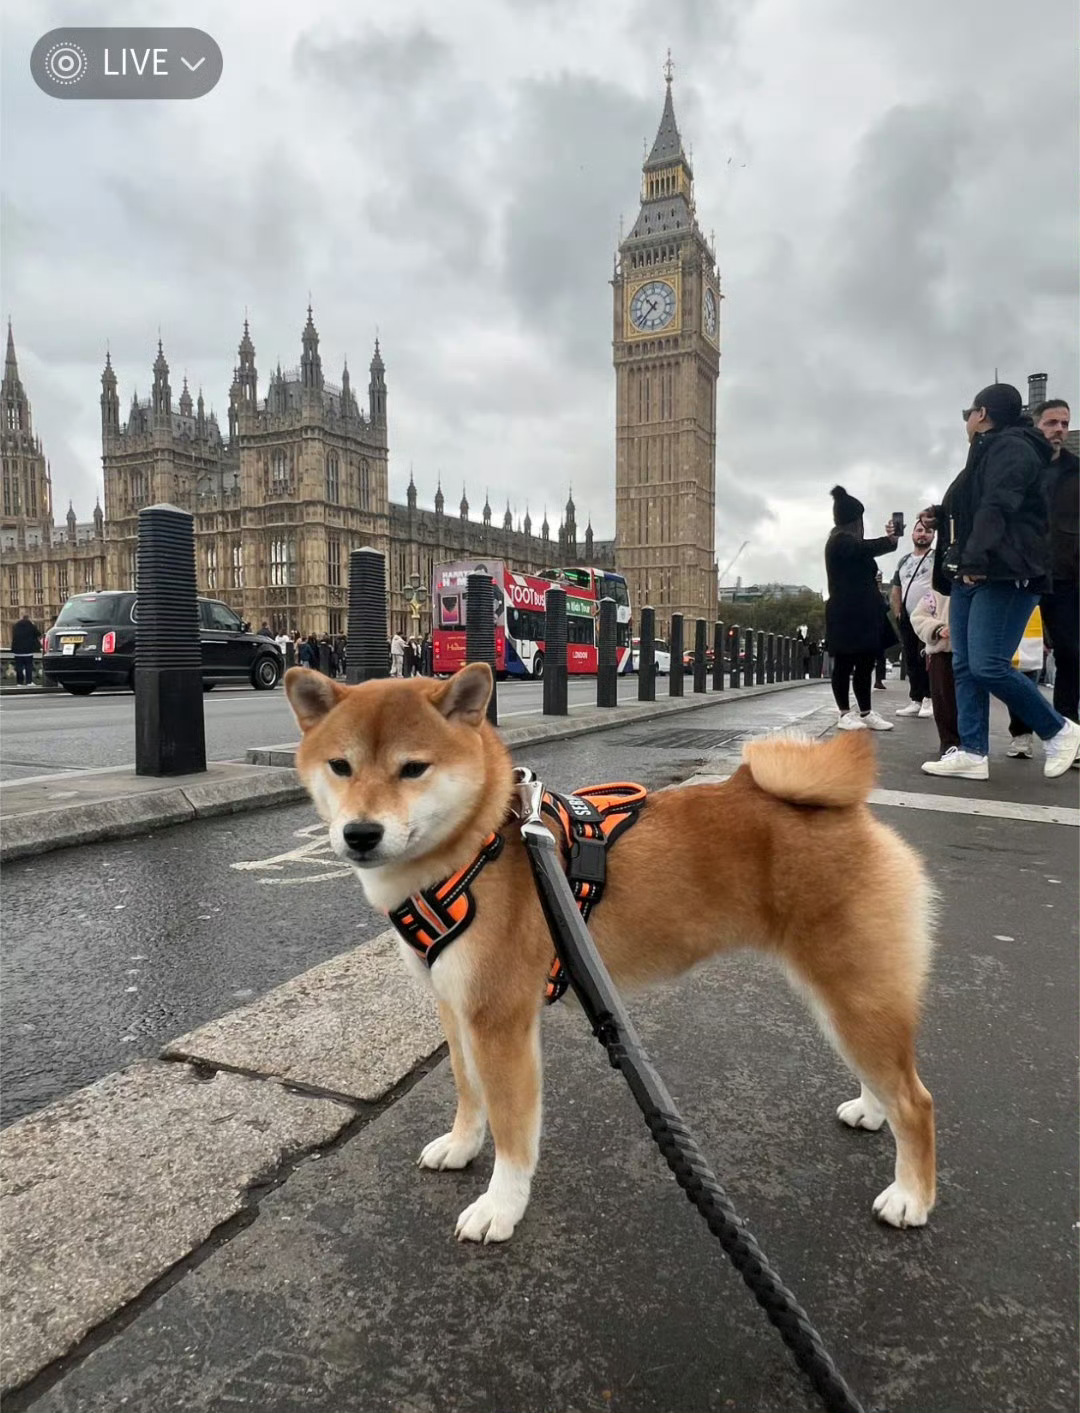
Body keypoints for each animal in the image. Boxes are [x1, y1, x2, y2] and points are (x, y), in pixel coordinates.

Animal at [286, 658, 938, 1237]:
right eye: (341, 766)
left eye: (414, 769)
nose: (360, 833)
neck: (478, 846)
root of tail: (845, 810)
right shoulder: (455, 1005)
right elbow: (470, 1095)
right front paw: (461, 1146)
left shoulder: (500, 1021)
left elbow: (511, 1130)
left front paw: (501, 1206)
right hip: (851, 998)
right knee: (885, 1078)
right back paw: (872, 1111)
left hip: (853, 991)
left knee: (916, 1100)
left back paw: (911, 1196)